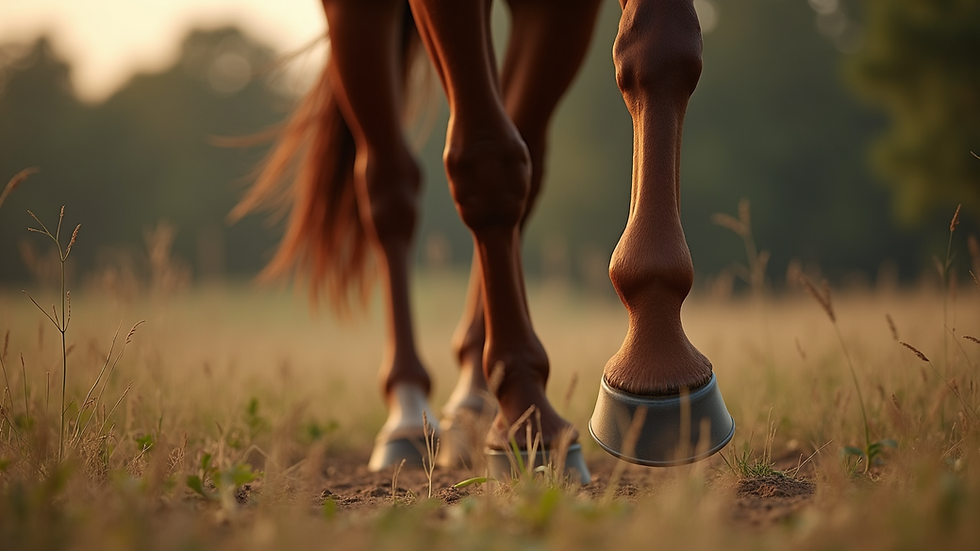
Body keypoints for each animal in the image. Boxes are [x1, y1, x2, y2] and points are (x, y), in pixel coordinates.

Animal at [231, 0, 734, 484]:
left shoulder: (570, 10)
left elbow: (663, 51)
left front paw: (659, 359)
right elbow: (487, 159)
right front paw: (528, 417)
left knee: (522, 147)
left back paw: (474, 401)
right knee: (388, 185)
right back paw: (409, 414)